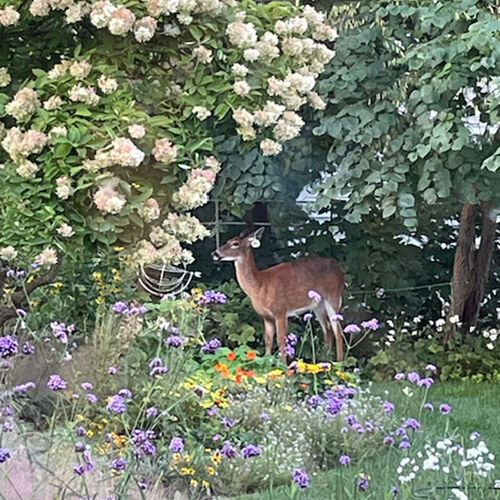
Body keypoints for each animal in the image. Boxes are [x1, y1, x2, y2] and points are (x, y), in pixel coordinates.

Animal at [210, 229, 344, 362]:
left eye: (235, 243)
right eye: (227, 241)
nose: (215, 253)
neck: (260, 285)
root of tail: (339, 269)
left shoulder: (280, 311)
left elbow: (280, 341)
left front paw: (284, 366)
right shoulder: (266, 316)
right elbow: (268, 341)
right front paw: (267, 362)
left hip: (333, 297)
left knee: (338, 331)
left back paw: (339, 362)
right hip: (318, 305)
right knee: (328, 331)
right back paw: (324, 360)